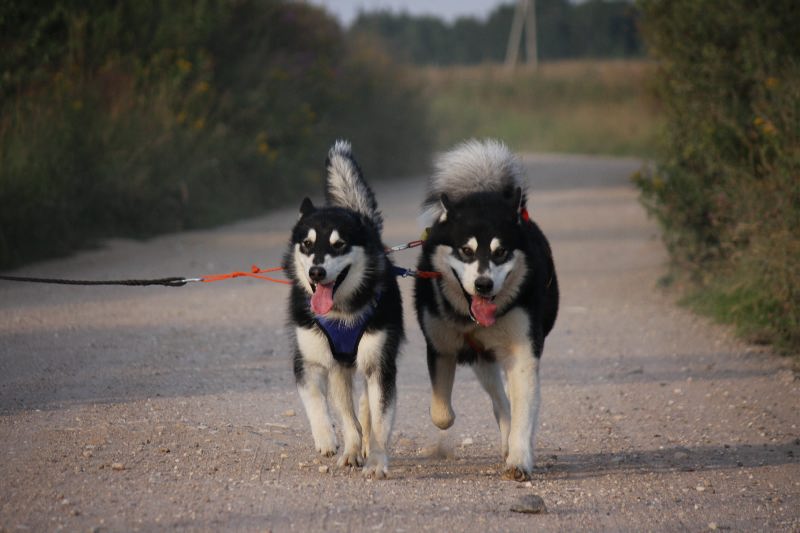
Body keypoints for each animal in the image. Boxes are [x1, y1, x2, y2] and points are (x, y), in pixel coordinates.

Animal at [282, 139, 406, 476]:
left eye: (339, 245)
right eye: (307, 244)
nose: (316, 272)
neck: (341, 314)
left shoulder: (380, 364)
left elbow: (380, 421)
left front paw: (376, 461)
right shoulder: (309, 360)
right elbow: (317, 401)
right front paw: (327, 438)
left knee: (365, 406)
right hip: (339, 367)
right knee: (349, 411)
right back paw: (351, 448)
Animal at [416, 139, 560, 480]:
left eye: (501, 251)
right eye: (466, 251)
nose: (483, 285)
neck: (472, 320)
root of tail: (486, 190)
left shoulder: (523, 352)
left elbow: (523, 412)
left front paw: (519, 458)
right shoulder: (440, 347)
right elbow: (441, 414)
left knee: (506, 402)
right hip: (482, 361)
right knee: (499, 400)